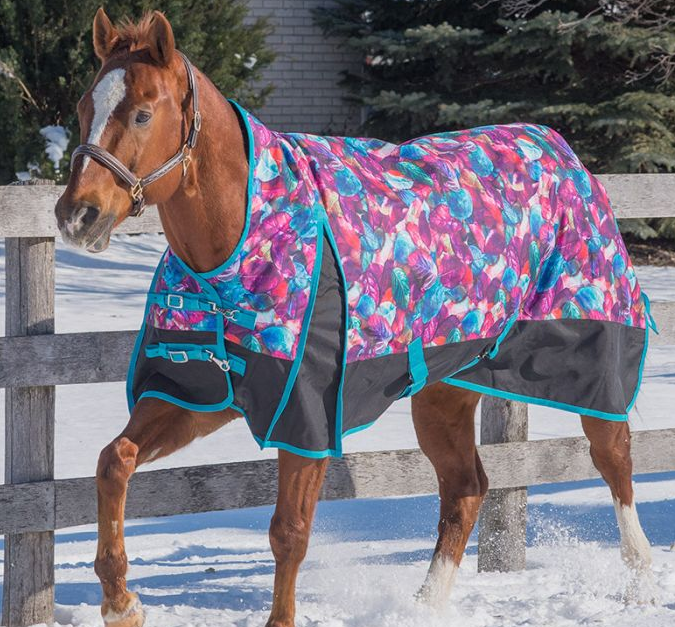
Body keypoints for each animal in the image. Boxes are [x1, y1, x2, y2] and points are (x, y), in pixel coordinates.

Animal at [54, 9, 655, 627]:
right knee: (466, 489)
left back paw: (641, 586)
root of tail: (564, 151)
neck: (239, 245)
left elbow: (289, 532)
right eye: (83, 107)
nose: (77, 215)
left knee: (614, 460)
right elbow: (114, 461)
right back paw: (423, 606)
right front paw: (122, 601)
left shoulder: (307, 419)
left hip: (591, 367)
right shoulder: (198, 395)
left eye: (143, 112)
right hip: (443, 393)